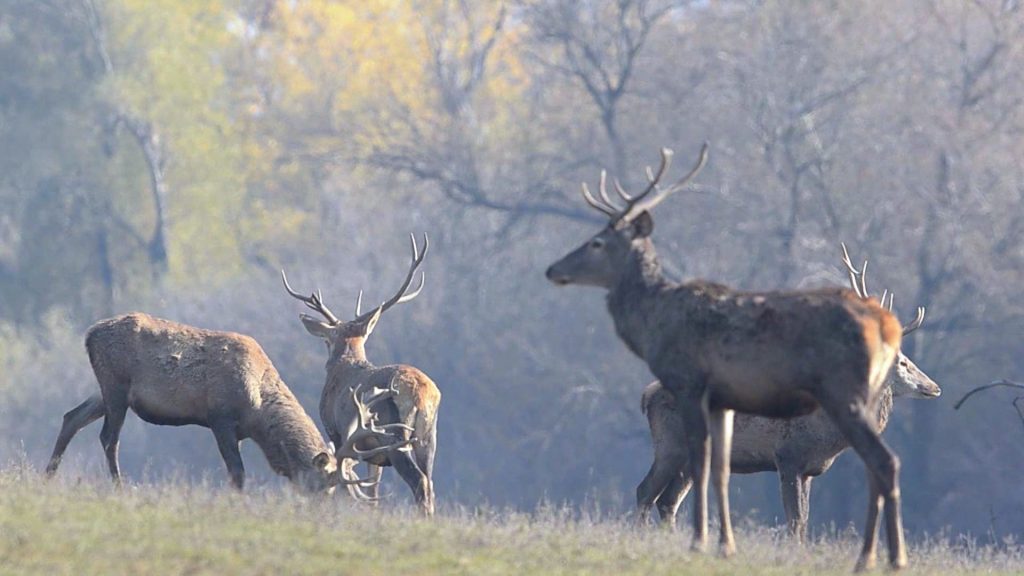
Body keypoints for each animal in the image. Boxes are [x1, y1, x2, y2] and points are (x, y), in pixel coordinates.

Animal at [44, 311, 405, 491]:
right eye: (321, 484)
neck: (258, 409)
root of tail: (88, 335)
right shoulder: (220, 417)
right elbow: (237, 472)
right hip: (116, 386)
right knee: (108, 437)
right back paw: (119, 486)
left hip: (105, 390)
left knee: (71, 417)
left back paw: (49, 475)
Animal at [284, 233, 440, 516]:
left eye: (327, 340)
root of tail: (422, 393)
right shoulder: (372, 453)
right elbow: (373, 490)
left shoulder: (335, 431)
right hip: (428, 436)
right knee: (430, 481)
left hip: (393, 433)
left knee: (420, 481)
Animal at [634, 243, 937, 541]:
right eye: (903, 362)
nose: (934, 387)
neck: (826, 435)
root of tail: (646, 396)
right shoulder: (787, 456)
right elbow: (795, 519)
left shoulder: (809, 470)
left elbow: (803, 521)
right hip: (670, 445)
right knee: (645, 492)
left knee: (668, 500)